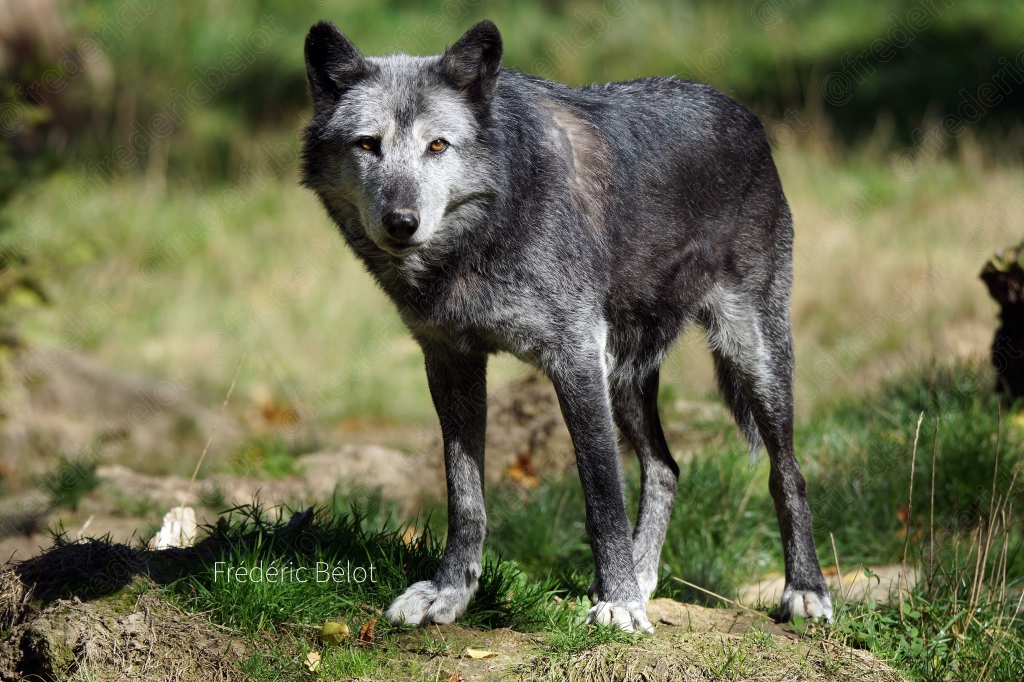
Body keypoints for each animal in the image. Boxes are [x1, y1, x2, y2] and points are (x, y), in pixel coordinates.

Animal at [300, 19, 832, 632]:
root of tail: (745, 114)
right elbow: (465, 495)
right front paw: (449, 592)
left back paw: (804, 590)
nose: (401, 222)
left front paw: (618, 603)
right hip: (625, 375)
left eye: (438, 145)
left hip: (751, 356)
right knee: (666, 466)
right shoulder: (452, 362)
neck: (486, 231)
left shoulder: (575, 357)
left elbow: (602, 494)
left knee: (787, 472)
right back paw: (645, 577)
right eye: (368, 144)